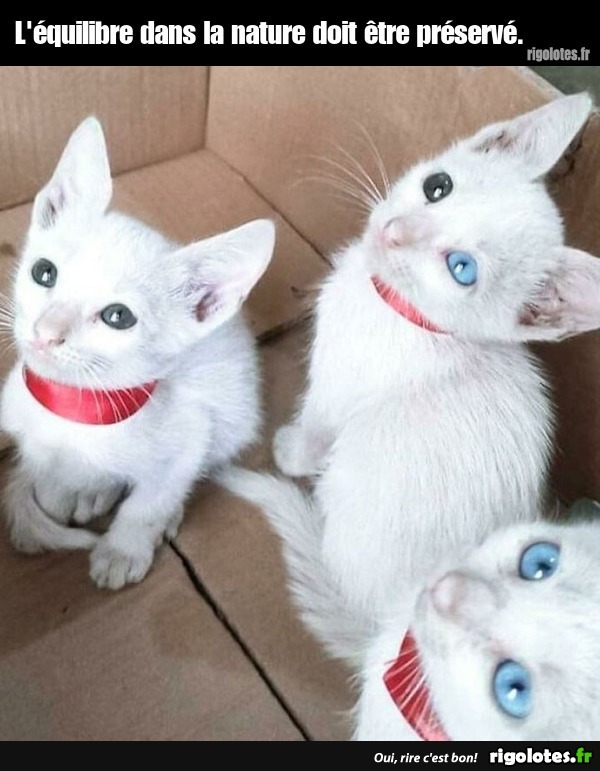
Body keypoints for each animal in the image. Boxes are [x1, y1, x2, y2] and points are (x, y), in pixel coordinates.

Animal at [0, 116, 275, 590]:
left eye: (117, 317)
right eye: (43, 272)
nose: (46, 333)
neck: (75, 408)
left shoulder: (189, 434)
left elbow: (151, 498)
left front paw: (123, 548)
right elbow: (46, 470)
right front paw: (58, 491)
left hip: (234, 414)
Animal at [269, 92, 600, 620]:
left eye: (461, 268)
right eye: (437, 186)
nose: (395, 233)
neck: (401, 310)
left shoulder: (335, 390)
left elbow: (315, 431)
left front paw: (289, 451)